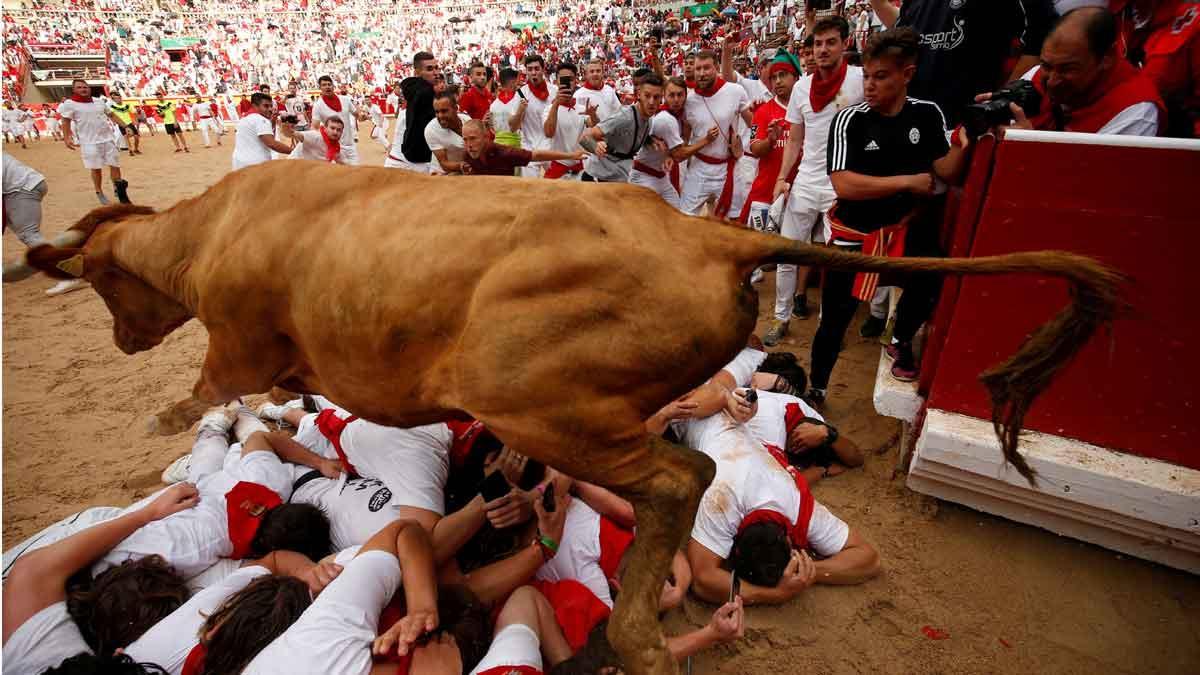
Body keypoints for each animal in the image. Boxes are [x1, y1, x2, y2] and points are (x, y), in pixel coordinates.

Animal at [7, 159, 1123, 667]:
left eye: (103, 284)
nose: (121, 341)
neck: (212, 233)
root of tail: (709, 234)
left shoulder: (237, 342)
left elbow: (209, 393)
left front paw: (170, 419)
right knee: (684, 472)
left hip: (536, 396)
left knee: (682, 477)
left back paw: (635, 629)